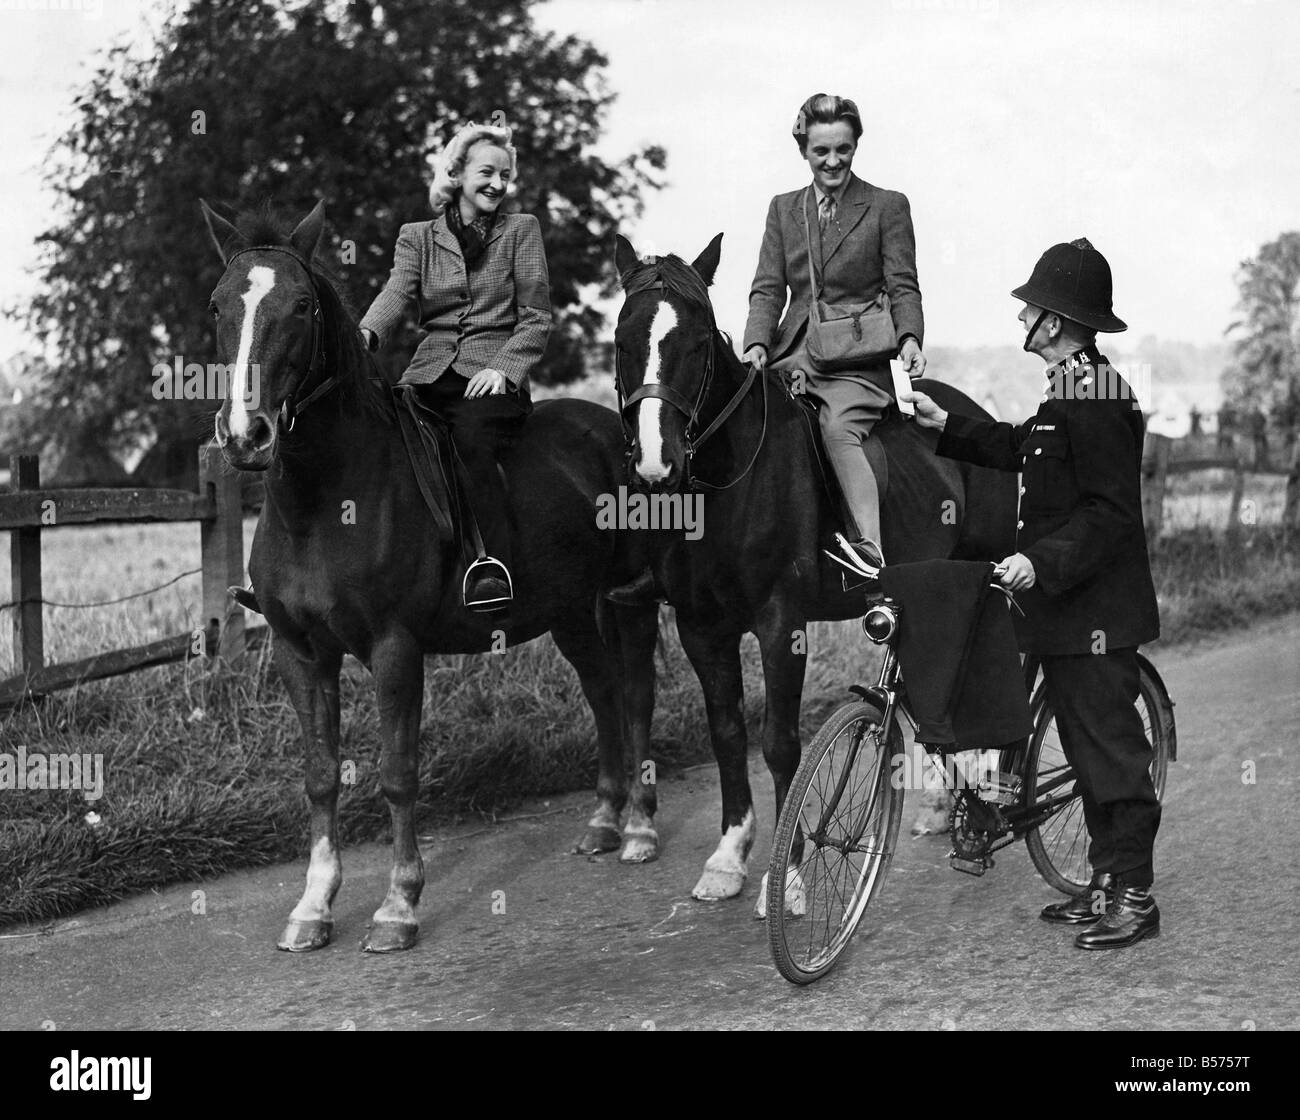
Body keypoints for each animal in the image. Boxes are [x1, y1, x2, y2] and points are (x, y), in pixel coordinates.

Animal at [202, 197, 660, 951]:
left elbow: (397, 774)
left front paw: (398, 905)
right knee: (602, 693)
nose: (247, 435)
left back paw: (642, 829)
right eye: (218, 304)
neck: (322, 501)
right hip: (571, 611)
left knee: (637, 694)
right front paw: (313, 907)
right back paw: (603, 822)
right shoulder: (300, 653)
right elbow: (320, 776)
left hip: (630, 599)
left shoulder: (395, 649)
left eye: (301, 305)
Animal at [608, 235, 1013, 914]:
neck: (727, 486)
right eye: (621, 339)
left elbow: (779, 744)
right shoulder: (701, 627)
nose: (657, 466)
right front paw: (728, 858)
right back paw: (938, 807)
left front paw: (789, 876)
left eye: (696, 343)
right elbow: (727, 735)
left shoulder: (781, 622)